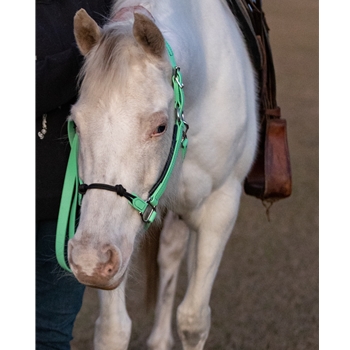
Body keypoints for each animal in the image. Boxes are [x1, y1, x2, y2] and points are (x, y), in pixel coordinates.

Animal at [68, 1, 258, 348]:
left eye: (159, 126)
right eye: (76, 123)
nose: (90, 260)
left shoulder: (220, 209)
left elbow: (194, 320)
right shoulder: (120, 234)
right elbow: (113, 329)